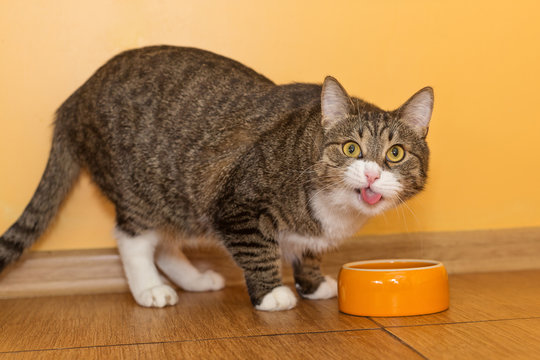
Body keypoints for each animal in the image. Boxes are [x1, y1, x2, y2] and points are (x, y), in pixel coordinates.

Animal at [0, 45, 432, 310]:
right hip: (142, 187)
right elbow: (259, 250)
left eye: (395, 154)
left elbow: (307, 251)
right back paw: (150, 289)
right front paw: (272, 295)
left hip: (177, 198)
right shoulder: (236, 205)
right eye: (351, 149)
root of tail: (74, 99)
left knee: (165, 243)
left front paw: (311, 284)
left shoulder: (306, 233)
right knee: (133, 238)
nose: (372, 174)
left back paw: (193, 280)